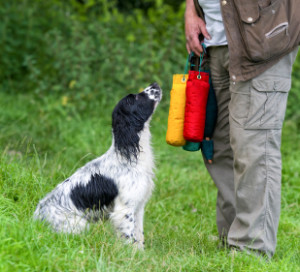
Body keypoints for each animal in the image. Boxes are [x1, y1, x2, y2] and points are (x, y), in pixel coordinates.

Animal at [33, 83, 162, 249]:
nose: (155, 84)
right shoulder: (124, 210)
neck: (128, 157)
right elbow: (129, 237)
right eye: (136, 97)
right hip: (79, 224)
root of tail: (36, 219)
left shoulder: (138, 207)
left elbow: (139, 236)